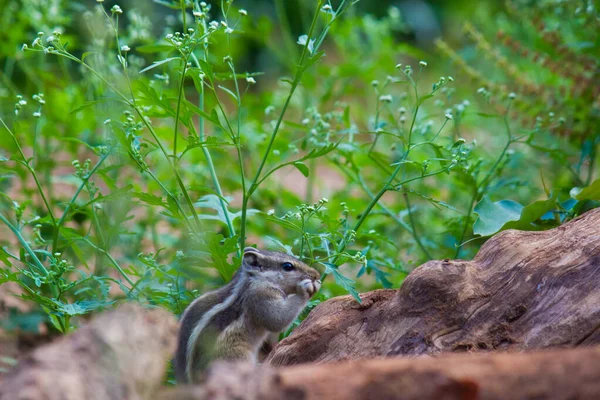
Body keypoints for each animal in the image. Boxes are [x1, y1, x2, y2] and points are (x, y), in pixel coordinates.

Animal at [173, 245, 322, 382]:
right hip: (235, 356)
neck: (253, 279)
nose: (317, 275)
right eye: (288, 266)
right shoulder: (261, 295)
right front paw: (306, 288)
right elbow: (278, 320)